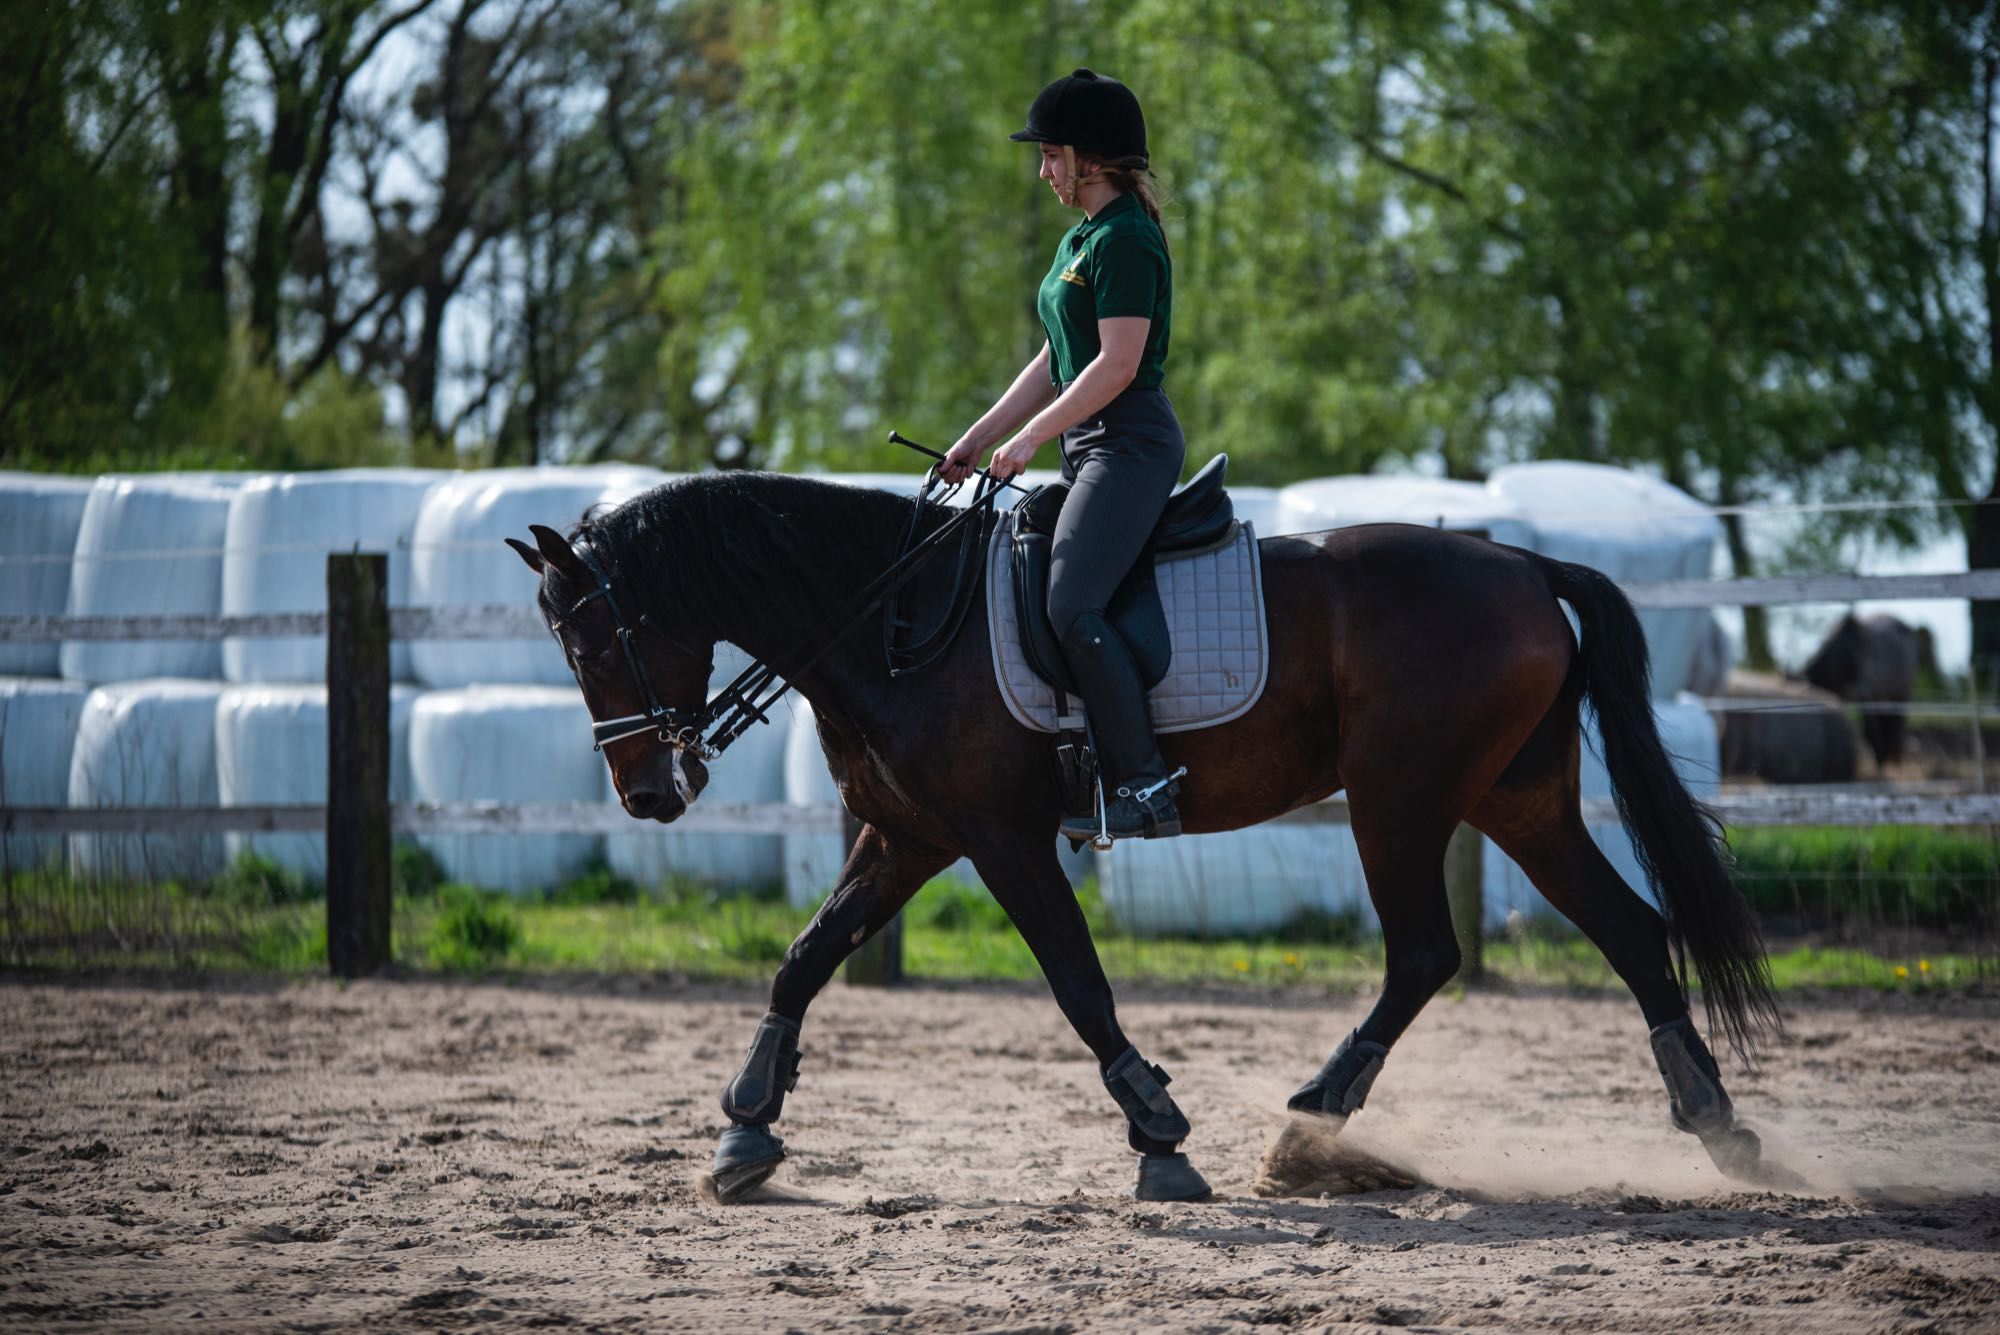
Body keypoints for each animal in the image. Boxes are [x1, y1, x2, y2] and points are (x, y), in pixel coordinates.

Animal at [508, 473, 1792, 1207]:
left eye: (593, 637)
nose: (648, 794)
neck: (893, 619)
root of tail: (1522, 562)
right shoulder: (907, 836)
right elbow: (802, 959)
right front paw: (744, 1128)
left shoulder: (1000, 838)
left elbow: (1078, 986)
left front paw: (1160, 1138)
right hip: (1515, 803)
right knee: (1630, 932)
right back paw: (1716, 1127)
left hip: (1401, 800)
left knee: (1426, 952)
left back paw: (1310, 1123)